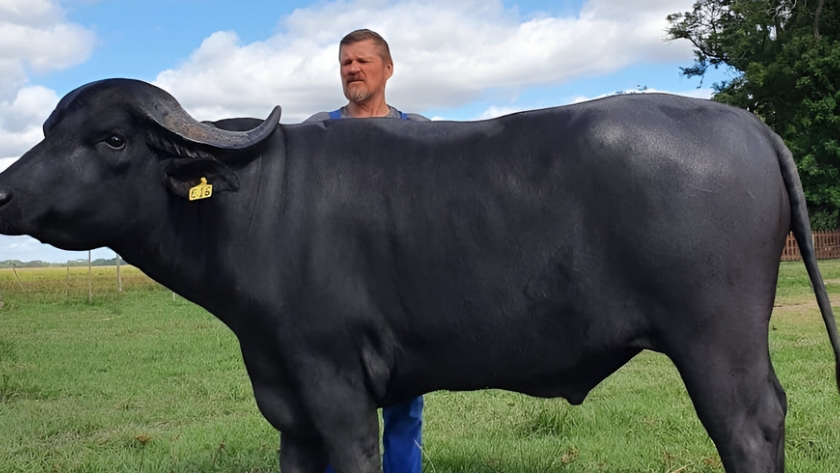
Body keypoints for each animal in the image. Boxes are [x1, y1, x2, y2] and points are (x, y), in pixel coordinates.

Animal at [1, 79, 840, 470]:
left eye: (112, 138)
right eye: (45, 128)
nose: (3, 191)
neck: (257, 204)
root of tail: (743, 121)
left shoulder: (337, 384)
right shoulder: (286, 400)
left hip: (719, 343)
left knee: (750, 426)